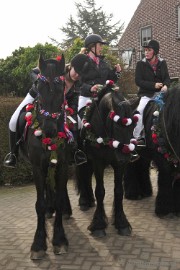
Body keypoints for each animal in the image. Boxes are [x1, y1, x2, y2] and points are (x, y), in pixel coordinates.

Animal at [17, 54, 72, 260]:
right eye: (38, 88)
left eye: (61, 87)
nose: (49, 130)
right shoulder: (37, 168)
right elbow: (39, 204)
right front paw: (39, 243)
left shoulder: (63, 165)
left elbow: (59, 199)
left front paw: (60, 239)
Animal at [76, 84, 139, 236]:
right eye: (116, 125)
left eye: (133, 126)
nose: (125, 156)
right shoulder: (98, 162)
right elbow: (100, 191)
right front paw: (98, 225)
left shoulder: (119, 165)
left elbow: (119, 191)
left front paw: (121, 223)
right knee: (83, 174)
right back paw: (84, 201)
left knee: (87, 176)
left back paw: (90, 200)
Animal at [124, 84, 180, 217]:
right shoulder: (162, 160)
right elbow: (165, 179)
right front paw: (163, 209)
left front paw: (177, 209)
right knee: (131, 168)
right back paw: (132, 193)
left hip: (143, 154)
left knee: (142, 167)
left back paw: (145, 191)